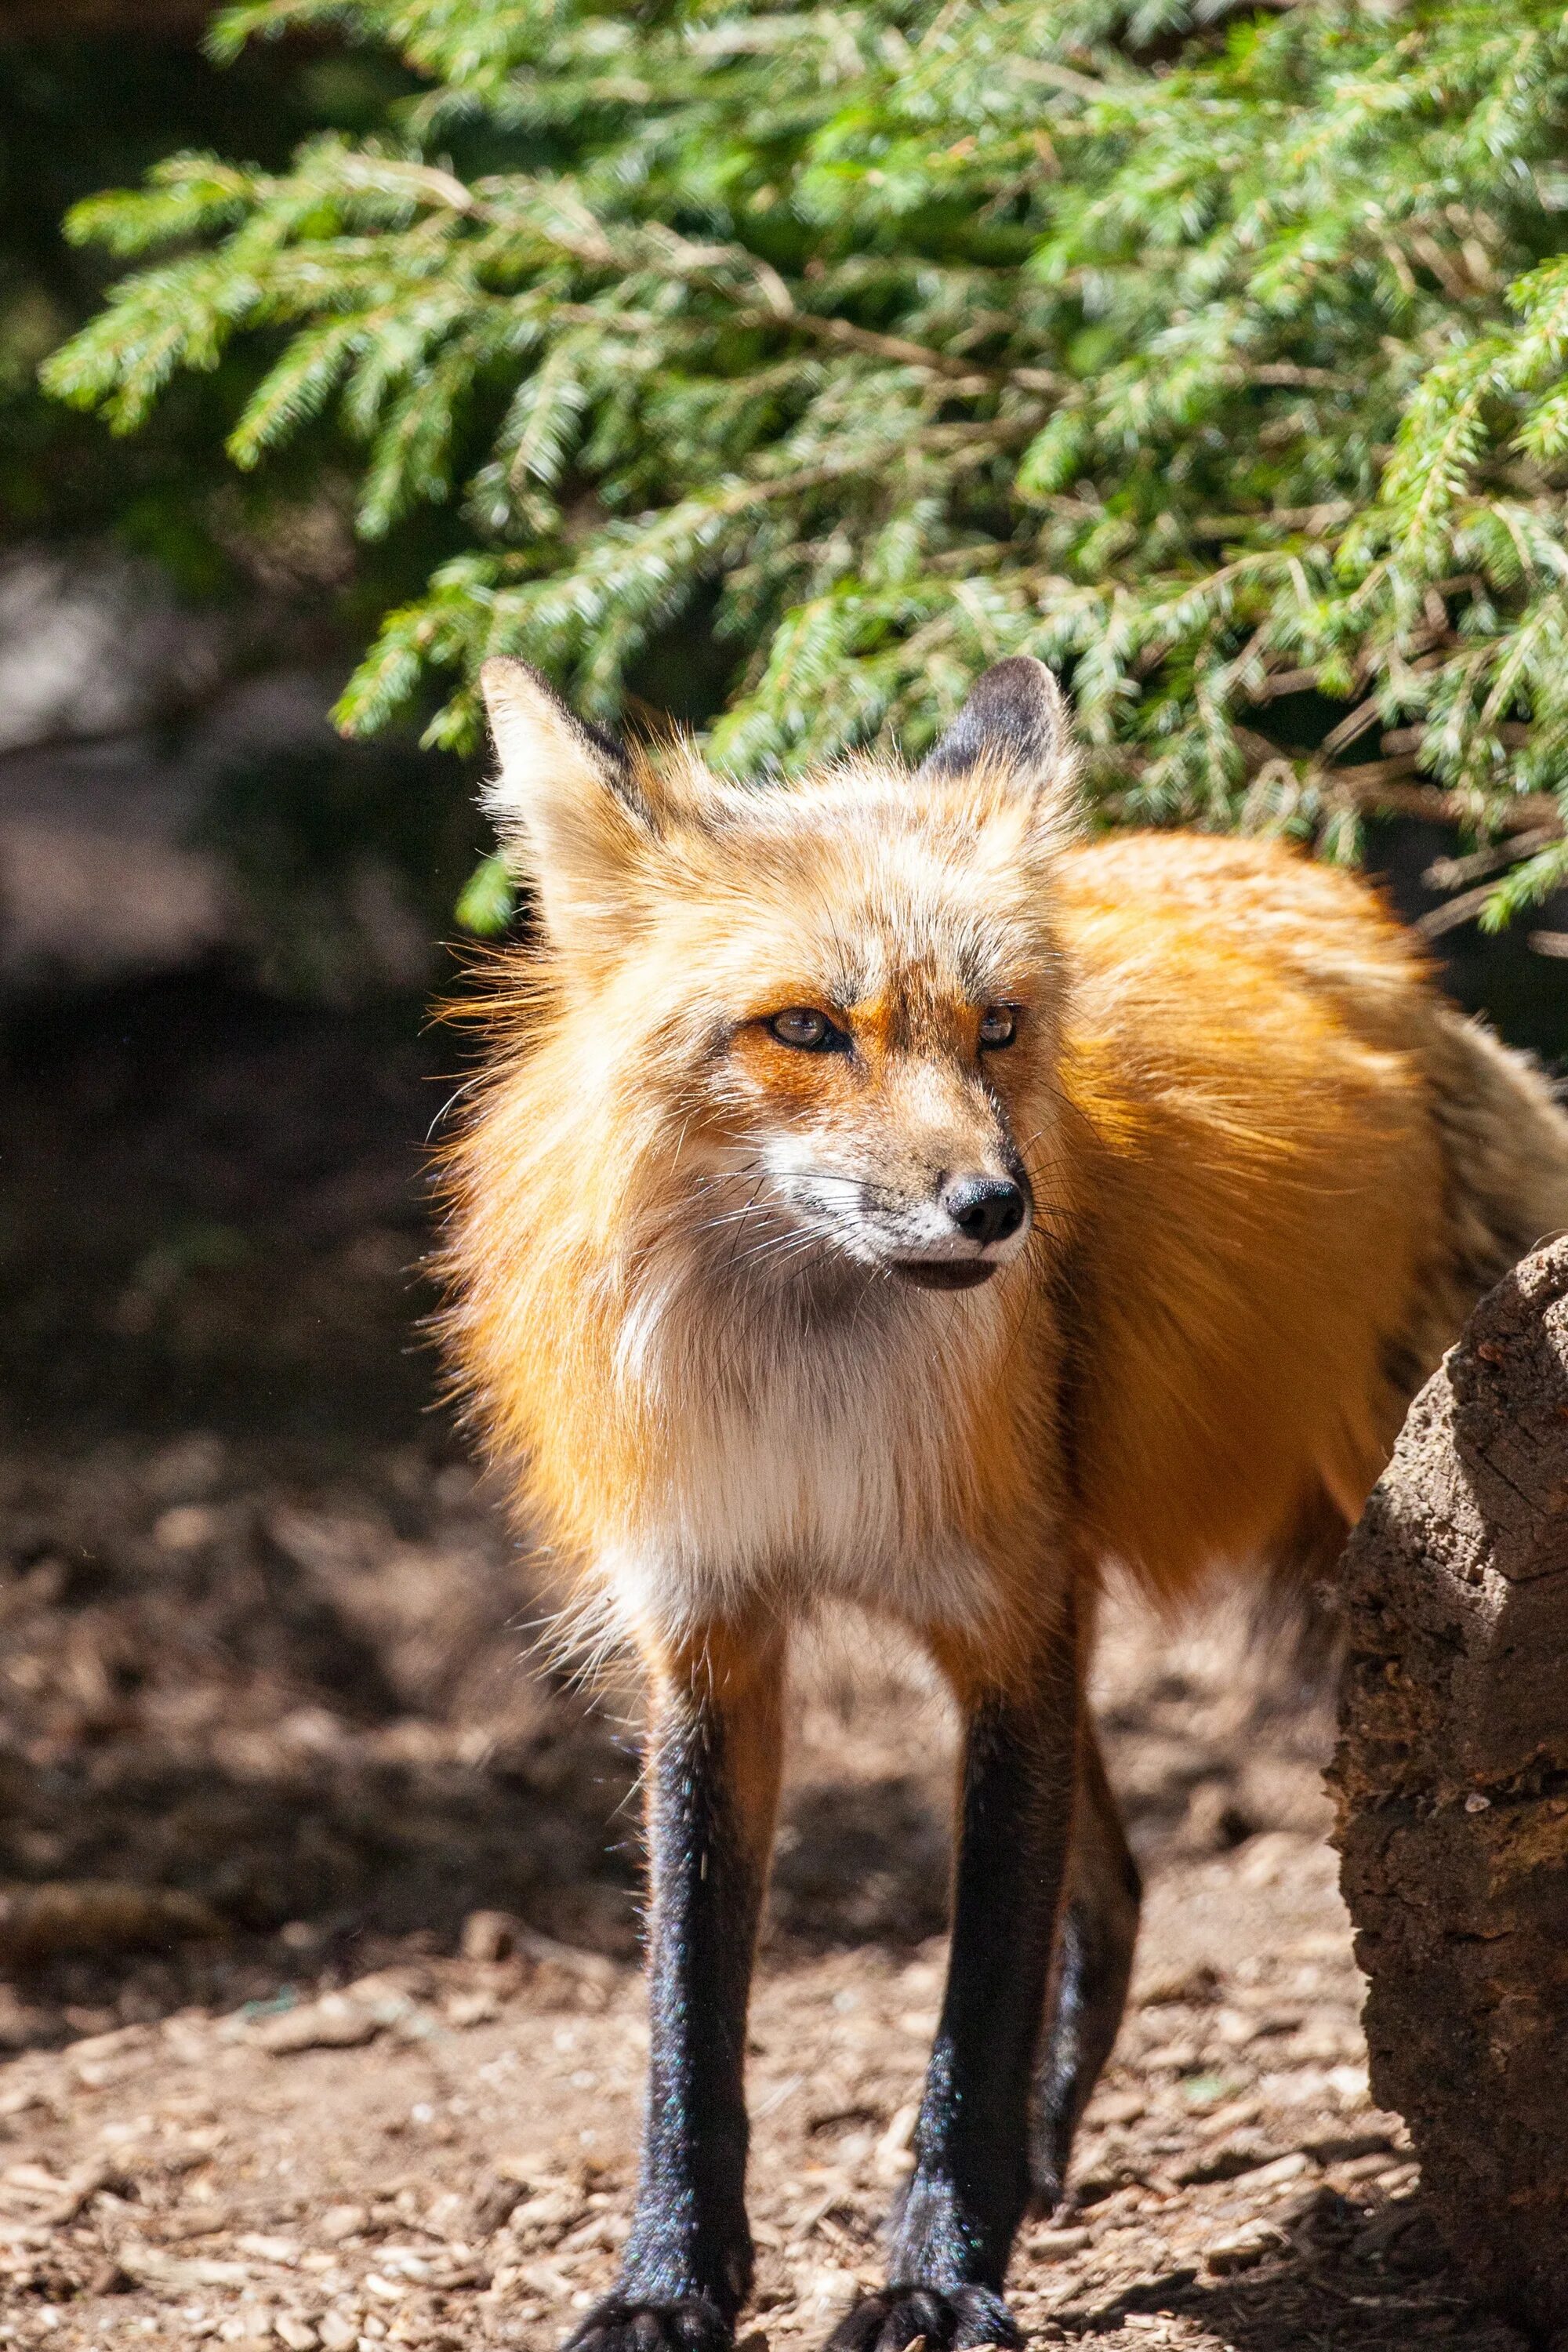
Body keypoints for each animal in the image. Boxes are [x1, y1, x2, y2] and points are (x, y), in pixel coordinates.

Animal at [439, 659, 1568, 2352]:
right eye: (803, 1028)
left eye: (998, 1027)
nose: (995, 1206)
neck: (815, 1397)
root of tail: (1361, 922)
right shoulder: (714, 1632)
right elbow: (689, 2013)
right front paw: (669, 2282)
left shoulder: (1004, 1625)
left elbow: (976, 1993)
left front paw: (936, 2274)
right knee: (1119, 1884)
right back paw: (1044, 2162)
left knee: (1103, 1890)